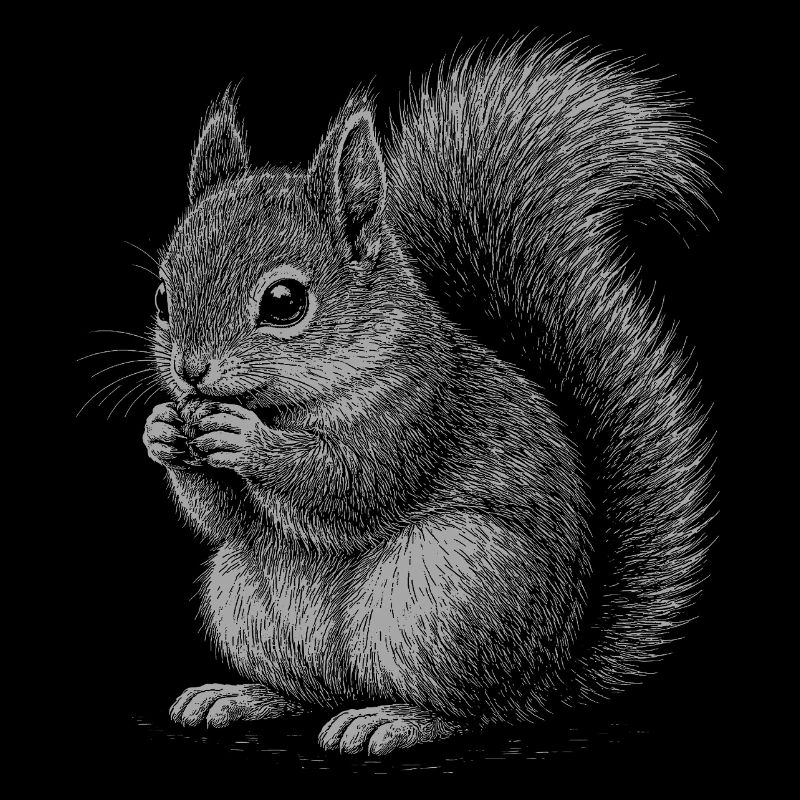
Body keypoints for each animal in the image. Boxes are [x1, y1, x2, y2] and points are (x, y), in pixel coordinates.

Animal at [141, 38, 713, 756]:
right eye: (162, 296)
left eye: (284, 302)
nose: (190, 372)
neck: (289, 401)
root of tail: (546, 683)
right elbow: (227, 520)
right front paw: (163, 431)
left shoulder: (417, 410)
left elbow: (352, 486)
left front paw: (247, 442)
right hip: (245, 599)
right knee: (312, 692)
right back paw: (242, 696)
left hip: (446, 594)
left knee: (471, 711)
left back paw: (392, 719)